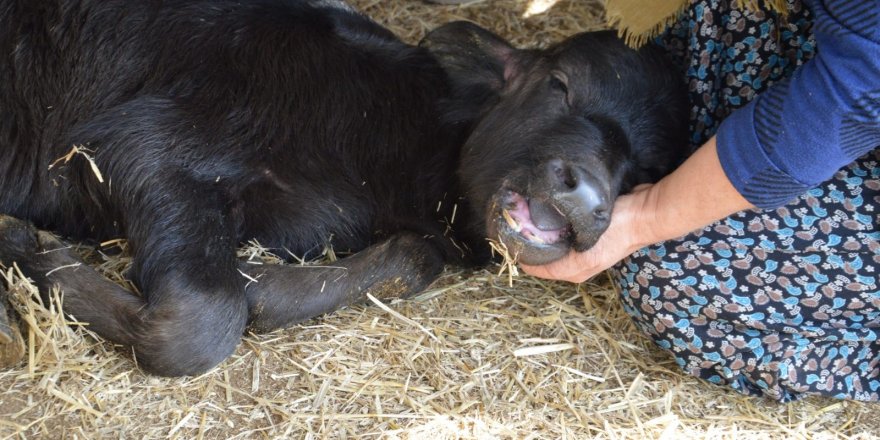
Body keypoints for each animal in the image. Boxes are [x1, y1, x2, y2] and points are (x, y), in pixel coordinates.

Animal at [0, 1, 688, 376]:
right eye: (560, 85)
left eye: (644, 170)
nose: (585, 199)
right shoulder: (140, 142)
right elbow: (201, 324)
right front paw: (26, 245)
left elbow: (414, 256)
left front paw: (264, 281)